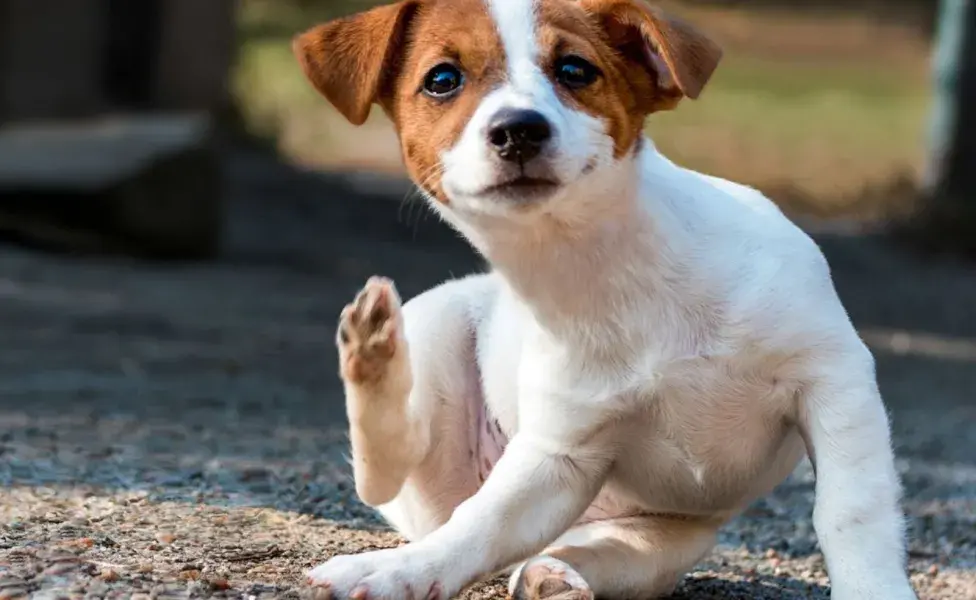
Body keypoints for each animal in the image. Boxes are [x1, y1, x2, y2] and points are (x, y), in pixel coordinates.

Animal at [294, 1, 920, 600]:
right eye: (443, 79)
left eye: (575, 69)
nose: (518, 130)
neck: (609, 270)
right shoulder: (562, 455)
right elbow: (480, 524)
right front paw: (403, 572)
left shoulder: (834, 381)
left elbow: (850, 509)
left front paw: (873, 590)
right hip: (438, 338)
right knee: (394, 474)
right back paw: (373, 354)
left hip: (657, 546)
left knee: (570, 550)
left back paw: (553, 574)